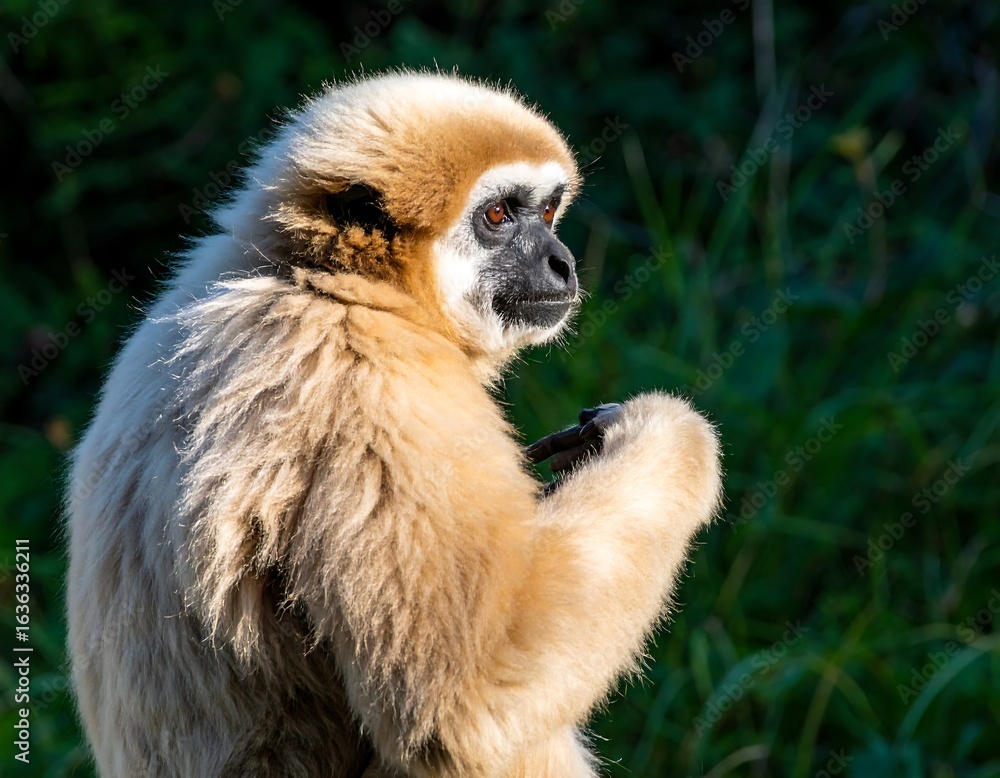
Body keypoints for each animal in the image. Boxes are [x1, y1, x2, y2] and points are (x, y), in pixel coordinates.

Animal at [65, 70, 722, 777]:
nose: (562, 262)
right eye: (497, 216)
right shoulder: (375, 387)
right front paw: (666, 431)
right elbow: (466, 701)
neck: (314, 281)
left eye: (547, 213)